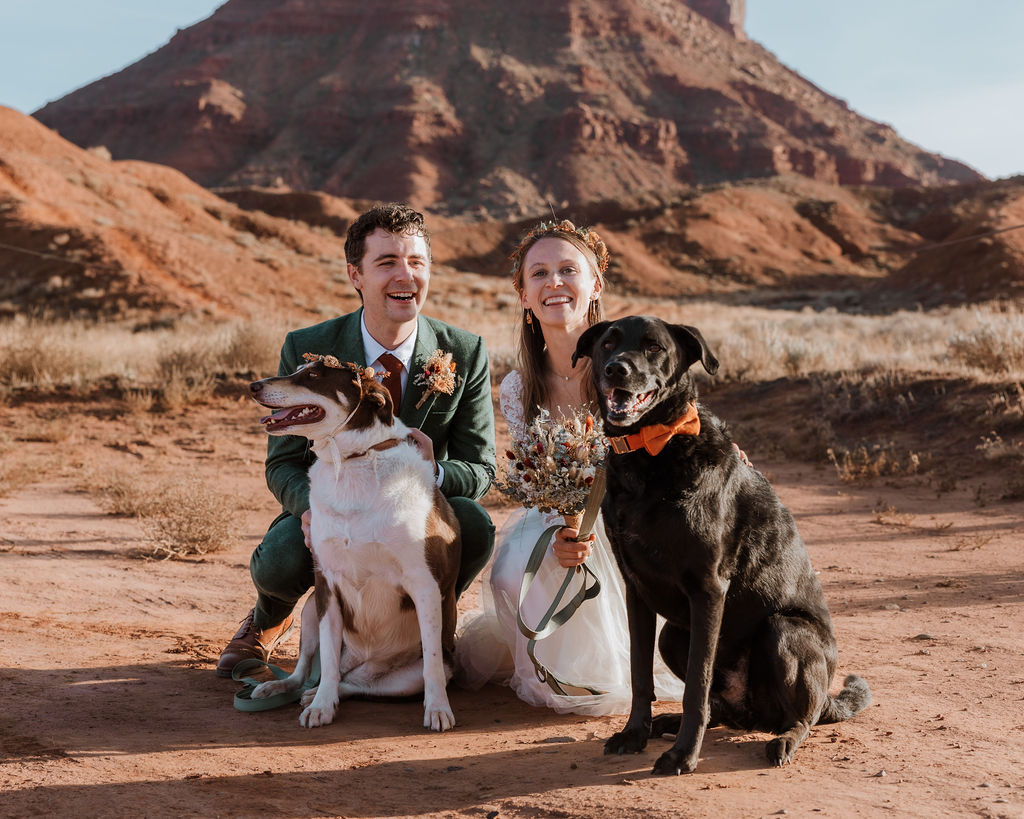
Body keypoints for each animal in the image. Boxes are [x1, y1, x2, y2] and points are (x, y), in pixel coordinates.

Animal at [246, 354, 460, 733]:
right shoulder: (328, 584)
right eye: (298, 371)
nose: (253, 386)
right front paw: (321, 706)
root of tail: (363, 664)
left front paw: (437, 709)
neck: (351, 460)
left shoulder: (425, 585)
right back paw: (290, 689)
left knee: (359, 685)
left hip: (404, 677)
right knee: (311, 671)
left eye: (314, 375)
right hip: (310, 610)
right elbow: (328, 660)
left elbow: (432, 664)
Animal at [573, 315, 868, 773]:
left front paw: (683, 755)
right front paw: (635, 734)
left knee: (802, 716)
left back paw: (783, 741)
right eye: (608, 343)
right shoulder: (635, 590)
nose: (616, 369)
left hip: (785, 633)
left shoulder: (708, 590)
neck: (653, 451)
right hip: (674, 635)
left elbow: (696, 685)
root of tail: (756, 715)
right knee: (719, 706)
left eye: (654, 347)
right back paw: (669, 724)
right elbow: (640, 674)